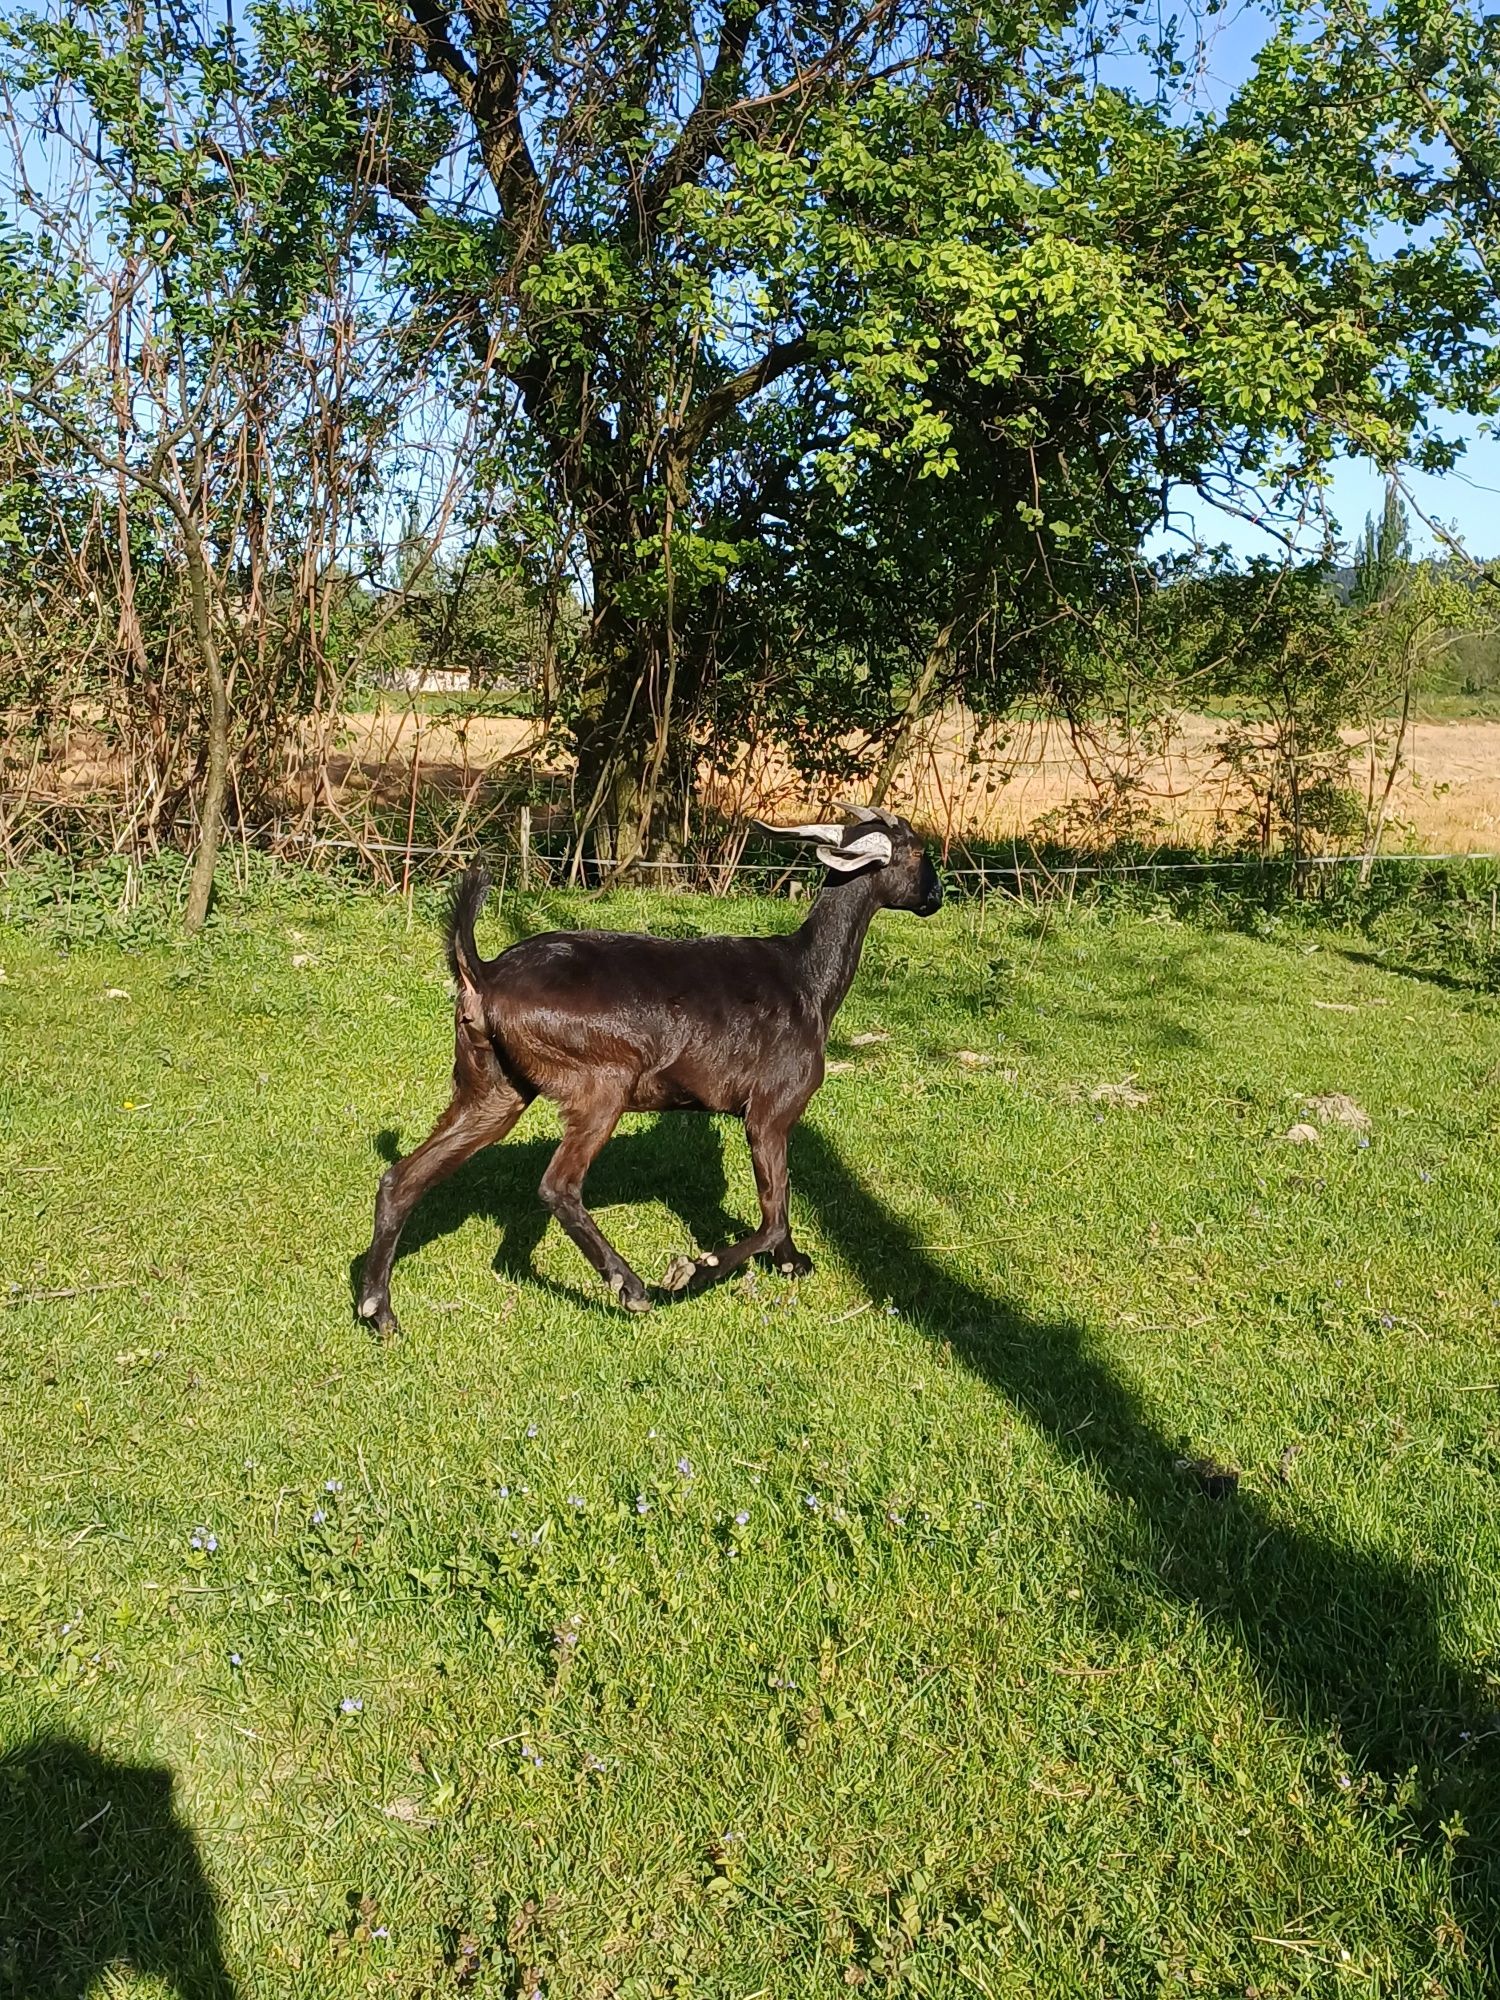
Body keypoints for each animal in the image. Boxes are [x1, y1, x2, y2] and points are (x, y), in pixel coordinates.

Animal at [356, 796, 940, 1328]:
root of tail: (484, 973)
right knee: (557, 1185)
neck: (805, 979)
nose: (934, 896)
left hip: (493, 1088)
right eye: (917, 851)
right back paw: (630, 1285)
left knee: (401, 1179)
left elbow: (778, 1211)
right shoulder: (771, 1111)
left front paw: (791, 1262)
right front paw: (697, 1269)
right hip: (602, 1083)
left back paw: (378, 1308)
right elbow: (775, 1213)